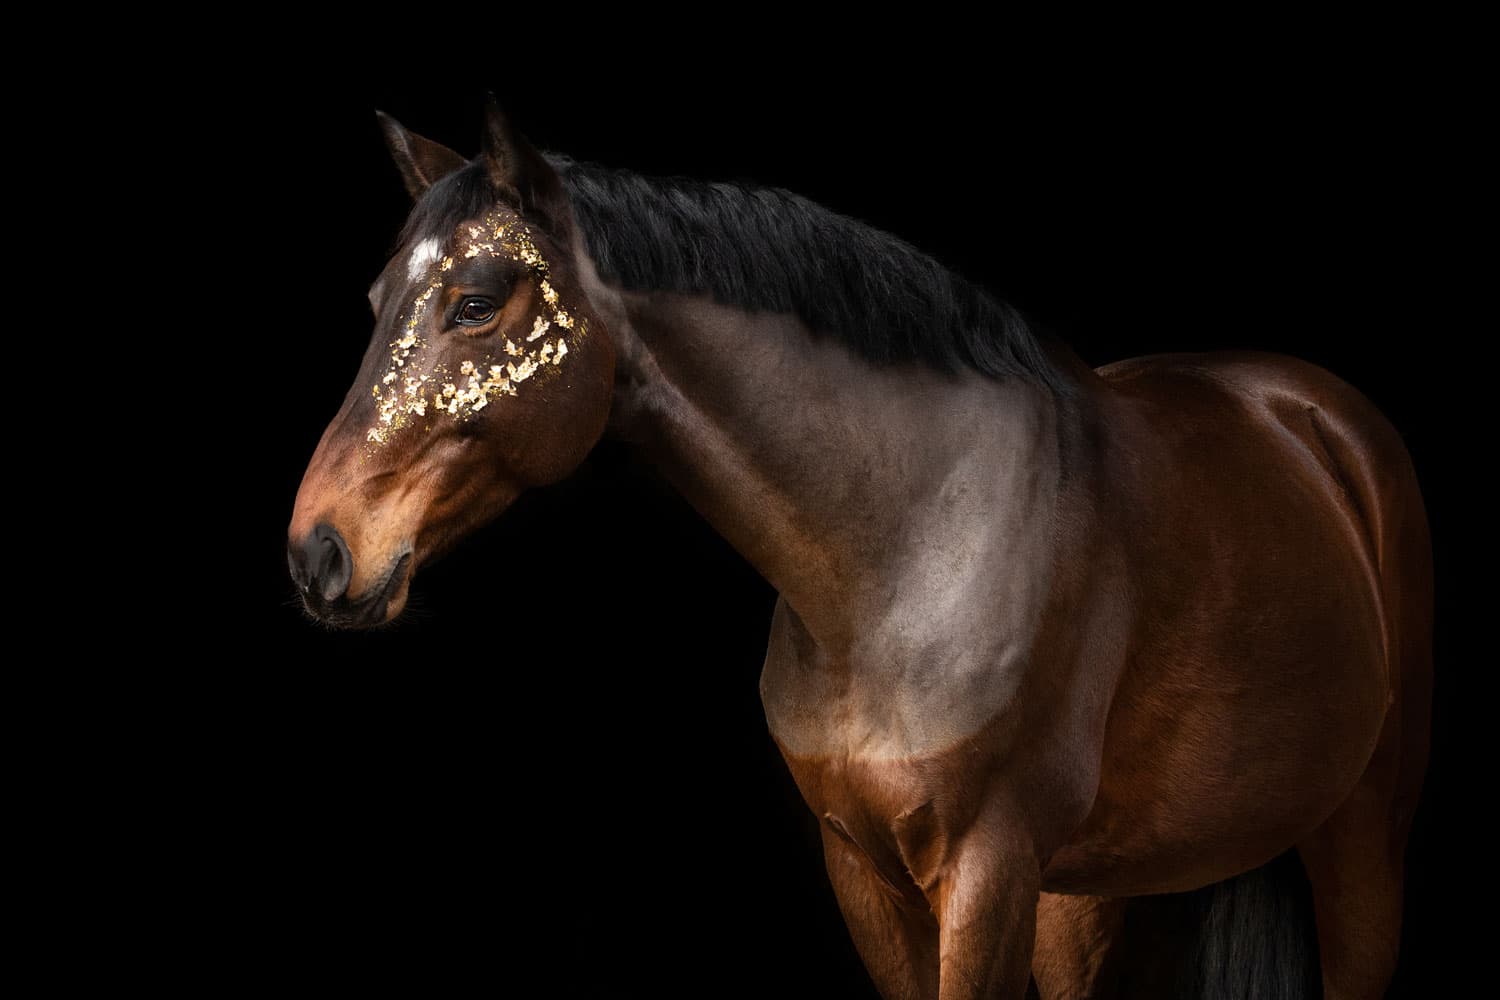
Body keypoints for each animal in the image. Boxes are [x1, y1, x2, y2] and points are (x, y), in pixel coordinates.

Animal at [288, 100, 1432, 999]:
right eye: (376, 302)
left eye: (476, 301)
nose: (319, 551)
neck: (908, 558)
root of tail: (1312, 419)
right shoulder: (868, 876)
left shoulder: (987, 873)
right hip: (1093, 890)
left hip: (1360, 837)